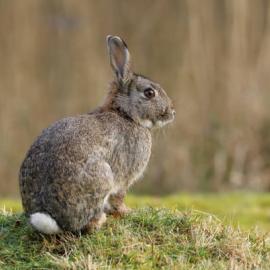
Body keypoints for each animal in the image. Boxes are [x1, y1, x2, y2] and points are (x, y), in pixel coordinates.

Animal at [19, 35, 175, 234]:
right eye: (149, 93)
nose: (172, 112)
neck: (126, 114)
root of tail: (51, 217)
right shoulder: (124, 178)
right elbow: (119, 198)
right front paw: (127, 212)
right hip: (103, 177)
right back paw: (100, 220)